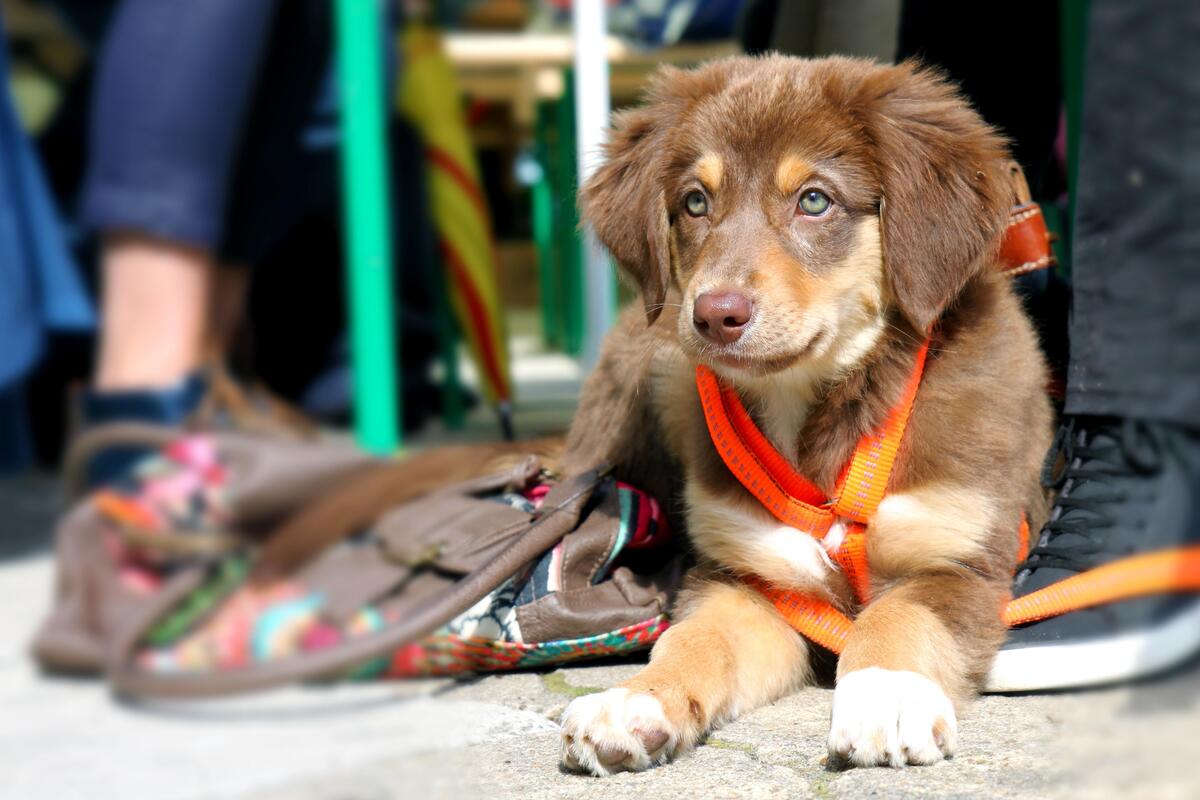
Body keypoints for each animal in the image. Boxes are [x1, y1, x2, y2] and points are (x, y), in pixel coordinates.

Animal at [554, 54, 1051, 767]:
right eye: (696, 202)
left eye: (814, 200)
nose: (714, 315)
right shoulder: (751, 578)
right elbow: (694, 638)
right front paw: (636, 699)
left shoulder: (961, 562)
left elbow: (899, 615)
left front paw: (886, 694)